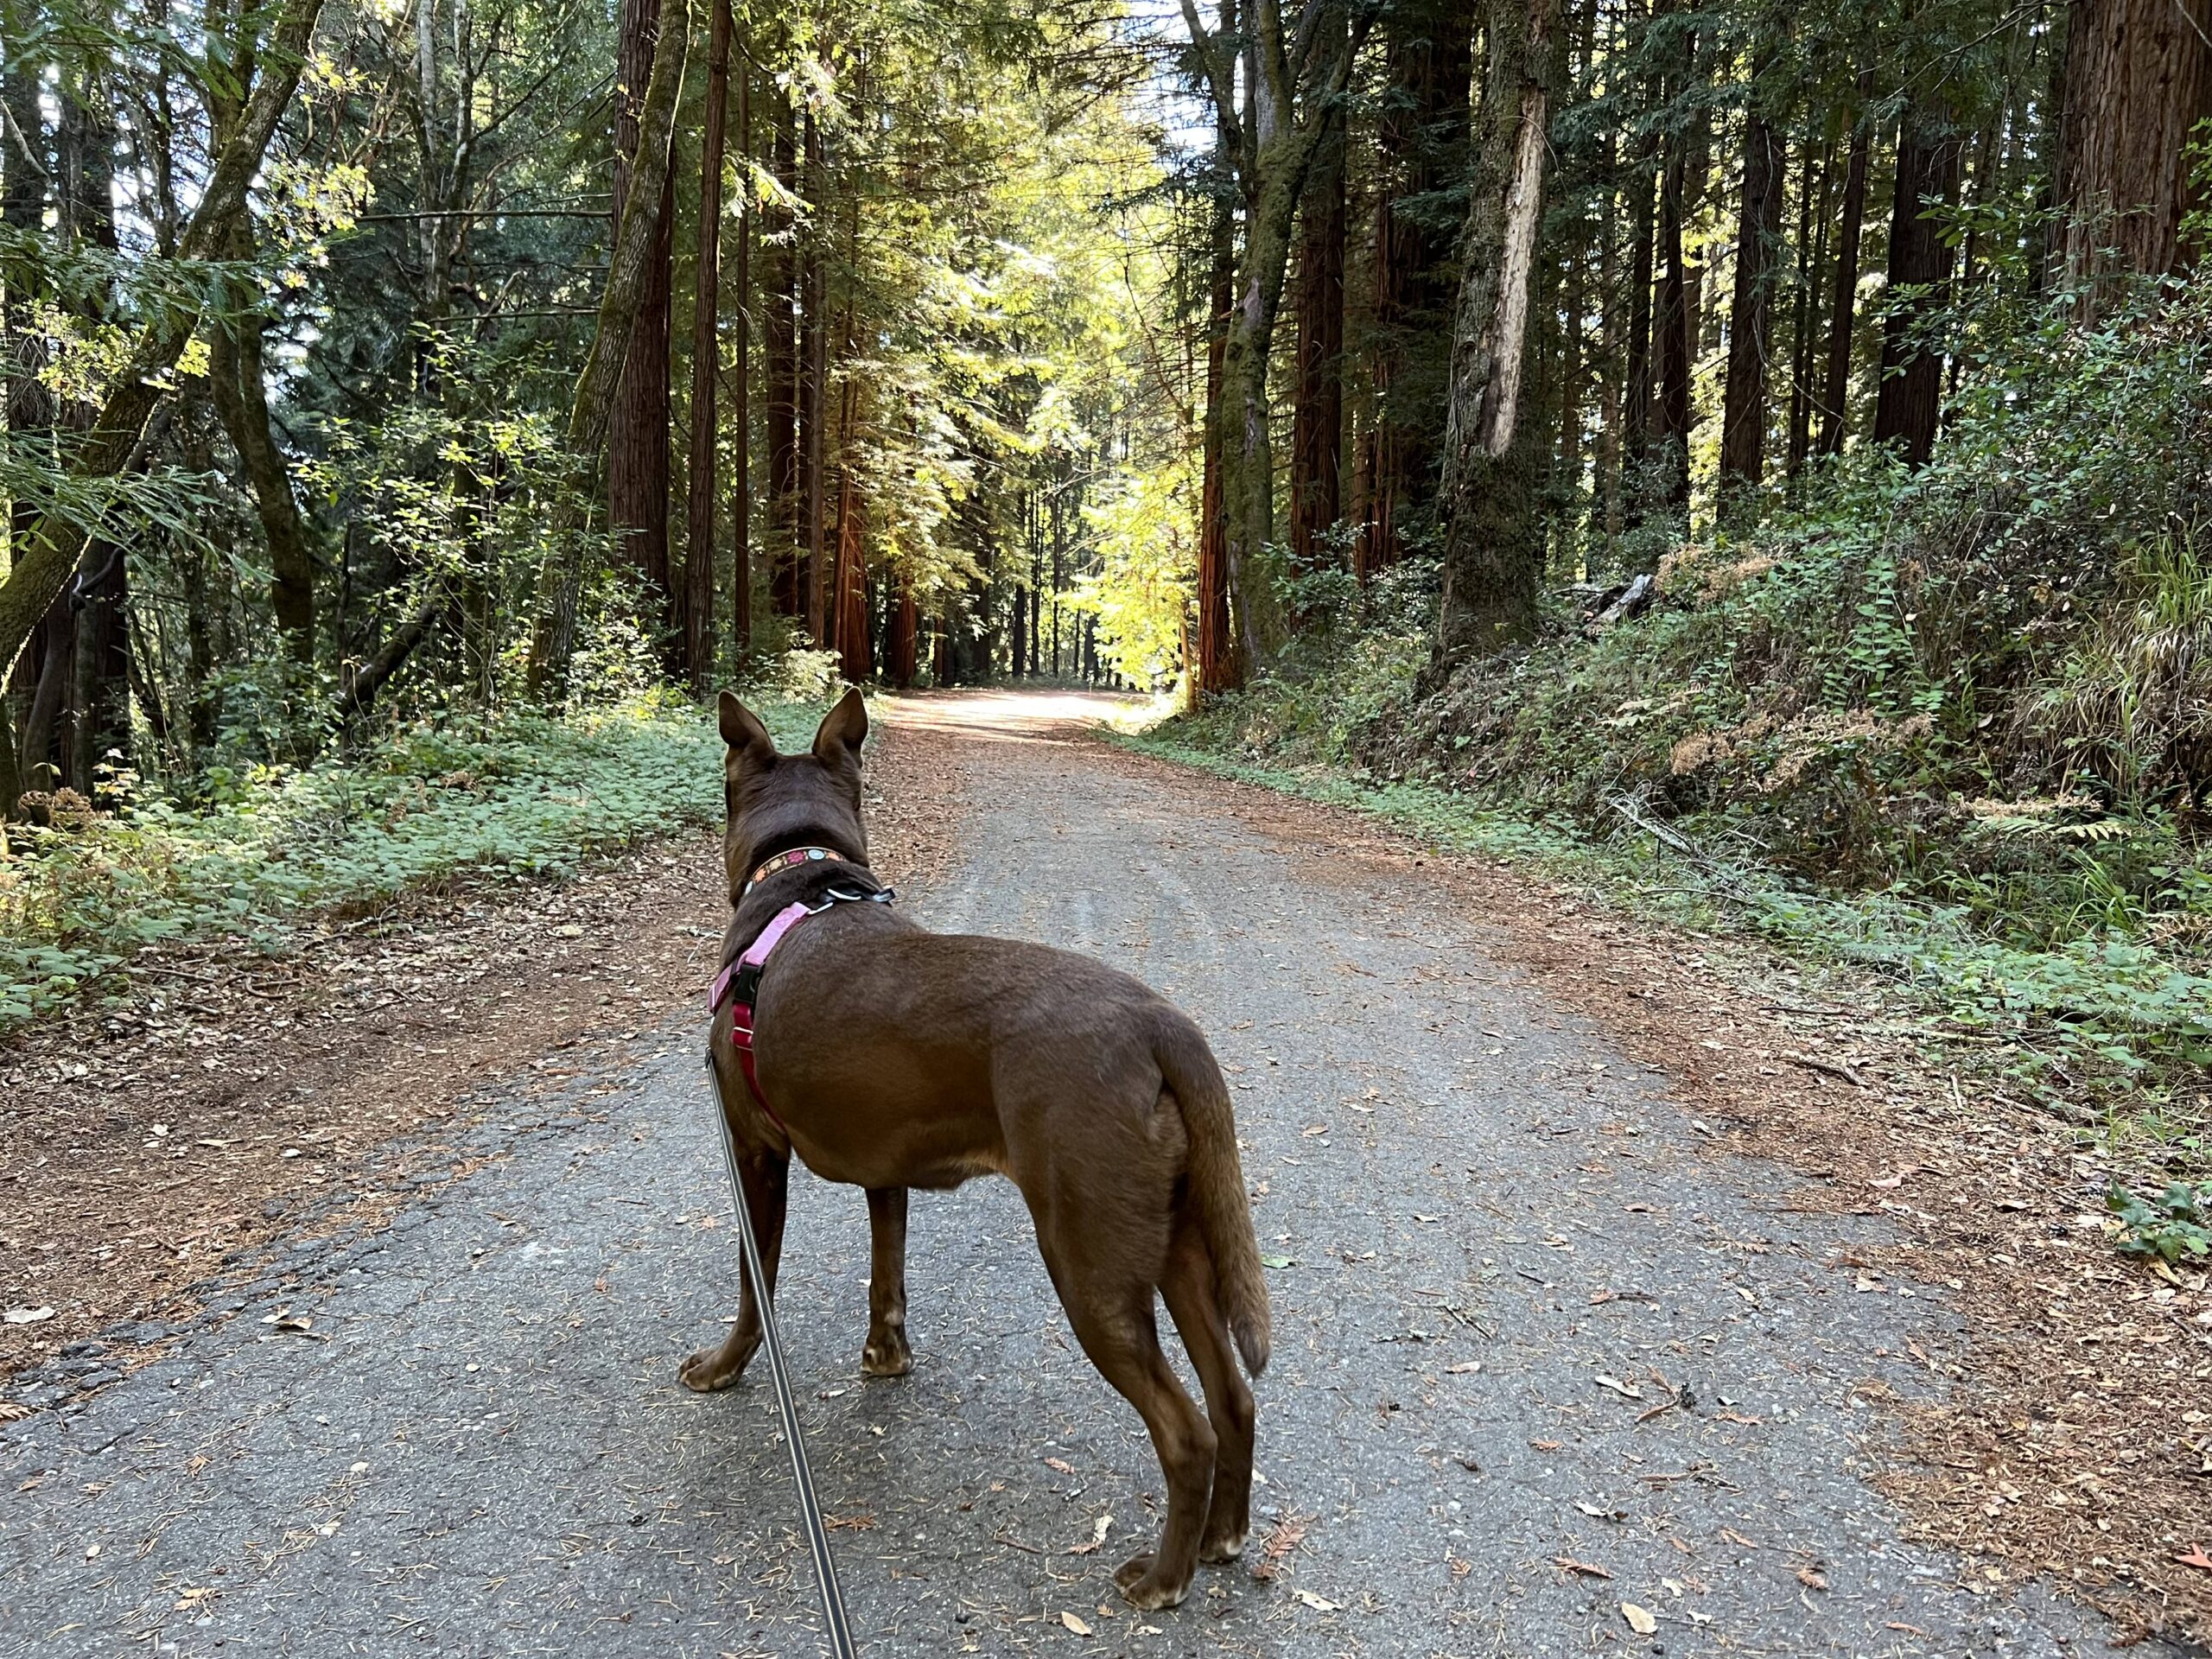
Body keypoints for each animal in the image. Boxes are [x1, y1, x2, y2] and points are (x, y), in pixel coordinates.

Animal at [677, 690, 1265, 1610]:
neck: (799, 876)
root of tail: (1161, 1026)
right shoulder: (884, 1168)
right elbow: (886, 1273)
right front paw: (886, 1359)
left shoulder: (754, 1153)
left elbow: (753, 1285)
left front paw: (724, 1365)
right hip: (1177, 1244)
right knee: (1233, 1399)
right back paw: (1221, 1539)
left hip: (1089, 1262)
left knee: (1186, 1430)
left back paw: (1161, 1579)